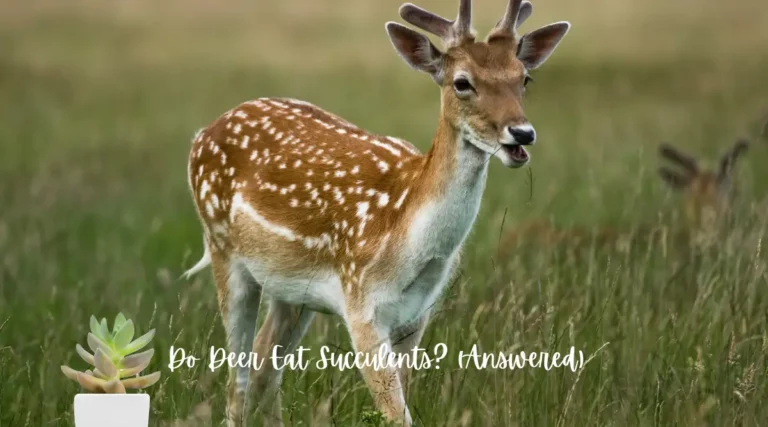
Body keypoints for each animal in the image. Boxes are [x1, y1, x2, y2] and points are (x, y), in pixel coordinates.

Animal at [183, 1, 570, 425]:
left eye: (524, 78)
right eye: (462, 82)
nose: (521, 133)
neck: (407, 234)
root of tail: (202, 134)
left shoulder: (417, 314)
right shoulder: (361, 303)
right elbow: (396, 414)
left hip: (292, 290)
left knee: (263, 364)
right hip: (222, 248)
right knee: (236, 380)